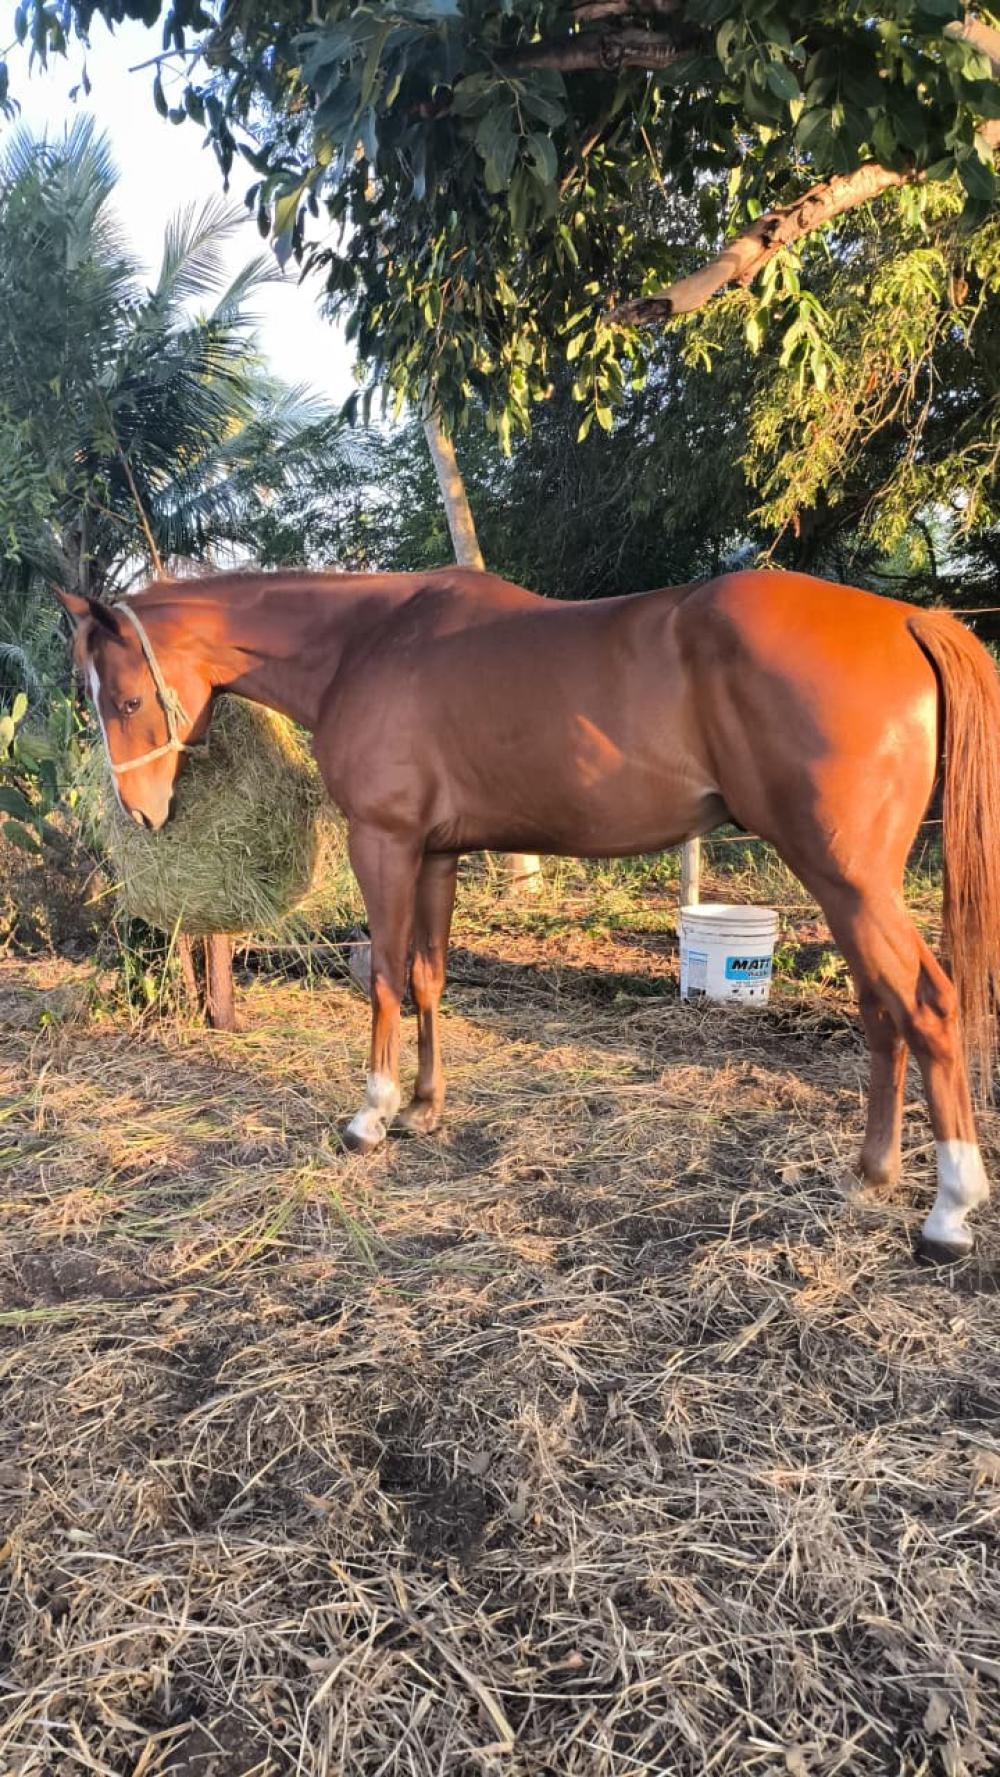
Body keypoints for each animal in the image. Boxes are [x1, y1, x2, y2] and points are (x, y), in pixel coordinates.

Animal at [57, 566, 1000, 1262]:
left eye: (126, 699)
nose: (143, 813)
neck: (366, 642)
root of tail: (908, 620)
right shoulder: (437, 854)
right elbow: (429, 975)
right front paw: (425, 1107)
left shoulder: (384, 842)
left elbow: (385, 977)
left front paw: (371, 1115)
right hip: (845, 887)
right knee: (882, 1013)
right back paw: (870, 1174)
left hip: (848, 879)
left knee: (926, 1005)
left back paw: (949, 1213)